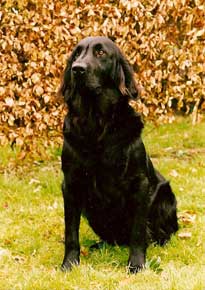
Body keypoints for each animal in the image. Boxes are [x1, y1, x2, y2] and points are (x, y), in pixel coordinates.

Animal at [58, 35, 178, 274]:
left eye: (101, 53)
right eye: (76, 54)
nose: (77, 69)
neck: (96, 124)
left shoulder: (140, 184)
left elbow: (138, 232)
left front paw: (137, 264)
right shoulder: (71, 184)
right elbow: (71, 232)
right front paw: (70, 263)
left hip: (165, 196)